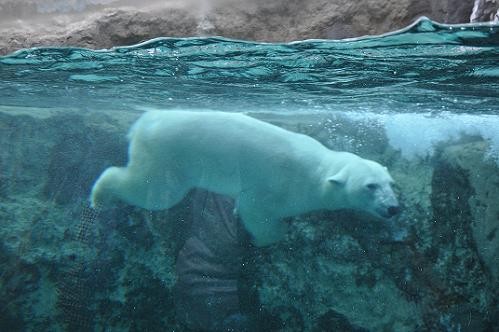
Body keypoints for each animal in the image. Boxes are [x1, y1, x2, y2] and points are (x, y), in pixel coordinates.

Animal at [91, 111, 402, 246]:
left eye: (391, 184)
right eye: (370, 186)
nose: (393, 208)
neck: (318, 170)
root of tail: (145, 121)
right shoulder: (279, 186)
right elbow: (255, 208)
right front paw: (268, 239)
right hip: (171, 158)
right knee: (153, 191)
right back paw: (99, 194)